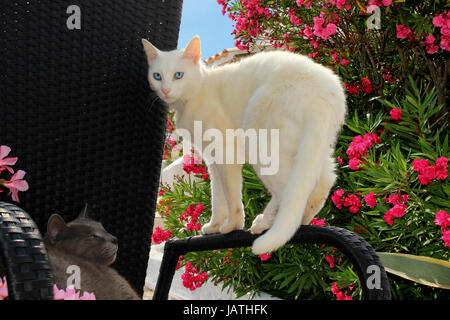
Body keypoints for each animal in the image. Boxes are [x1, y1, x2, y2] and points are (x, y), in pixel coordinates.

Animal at [142, 35, 346, 255]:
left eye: (178, 75)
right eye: (157, 76)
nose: (165, 90)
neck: (196, 92)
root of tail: (319, 92)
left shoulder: (225, 153)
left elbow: (231, 195)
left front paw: (232, 225)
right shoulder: (213, 161)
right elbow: (217, 196)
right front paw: (214, 225)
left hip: (260, 142)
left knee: (288, 191)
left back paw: (266, 223)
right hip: (313, 149)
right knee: (323, 181)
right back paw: (303, 217)